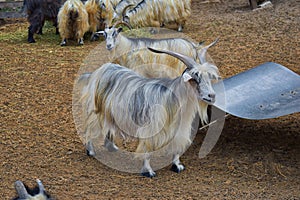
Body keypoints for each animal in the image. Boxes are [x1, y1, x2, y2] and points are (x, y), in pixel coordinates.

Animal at [79, 40, 220, 177]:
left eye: (208, 77)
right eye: (195, 78)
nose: (212, 96)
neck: (174, 98)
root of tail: (101, 70)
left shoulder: (179, 129)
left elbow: (176, 148)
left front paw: (177, 166)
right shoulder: (151, 129)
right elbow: (147, 149)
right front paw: (148, 171)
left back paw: (111, 147)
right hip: (96, 110)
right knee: (89, 128)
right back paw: (90, 151)